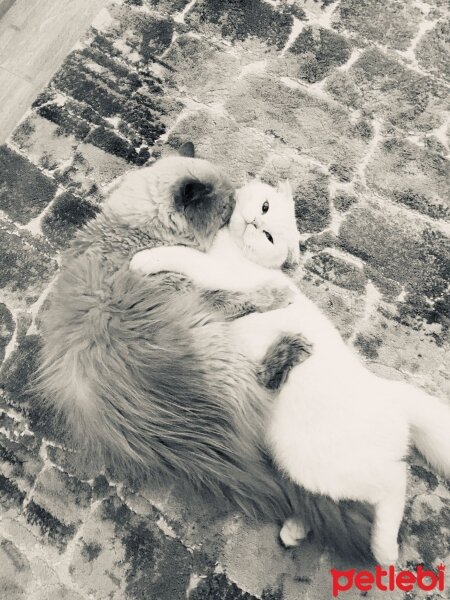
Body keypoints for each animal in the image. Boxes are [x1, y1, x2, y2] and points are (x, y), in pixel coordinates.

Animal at [39, 145, 372, 564]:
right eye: (226, 206)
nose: (240, 216)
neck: (135, 230)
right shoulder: (192, 290)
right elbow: (235, 297)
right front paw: (274, 295)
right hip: (214, 337)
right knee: (264, 381)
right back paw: (293, 343)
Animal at [128, 180, 448, 564]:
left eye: (267, 236)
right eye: (264, 208)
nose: (253, 221)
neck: (231, 248)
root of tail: (387, 391)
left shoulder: (217, 271)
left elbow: (182, 255)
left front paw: (143, 258)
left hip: (324, 464)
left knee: (394, 483)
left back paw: (384, 549)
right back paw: (295, 529)